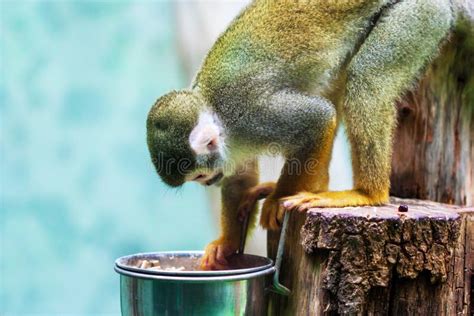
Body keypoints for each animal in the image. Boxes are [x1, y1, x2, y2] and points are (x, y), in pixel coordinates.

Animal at [148, 1, 460, 270]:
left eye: (200, 176)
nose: (210, 182)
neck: (218, 115)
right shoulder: (235, 142)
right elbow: (239, 177)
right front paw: (226, 245)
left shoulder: (252, 116)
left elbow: (318, 118)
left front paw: (279, 199)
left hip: (421, 14)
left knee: (366, 80)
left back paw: (366, 193)